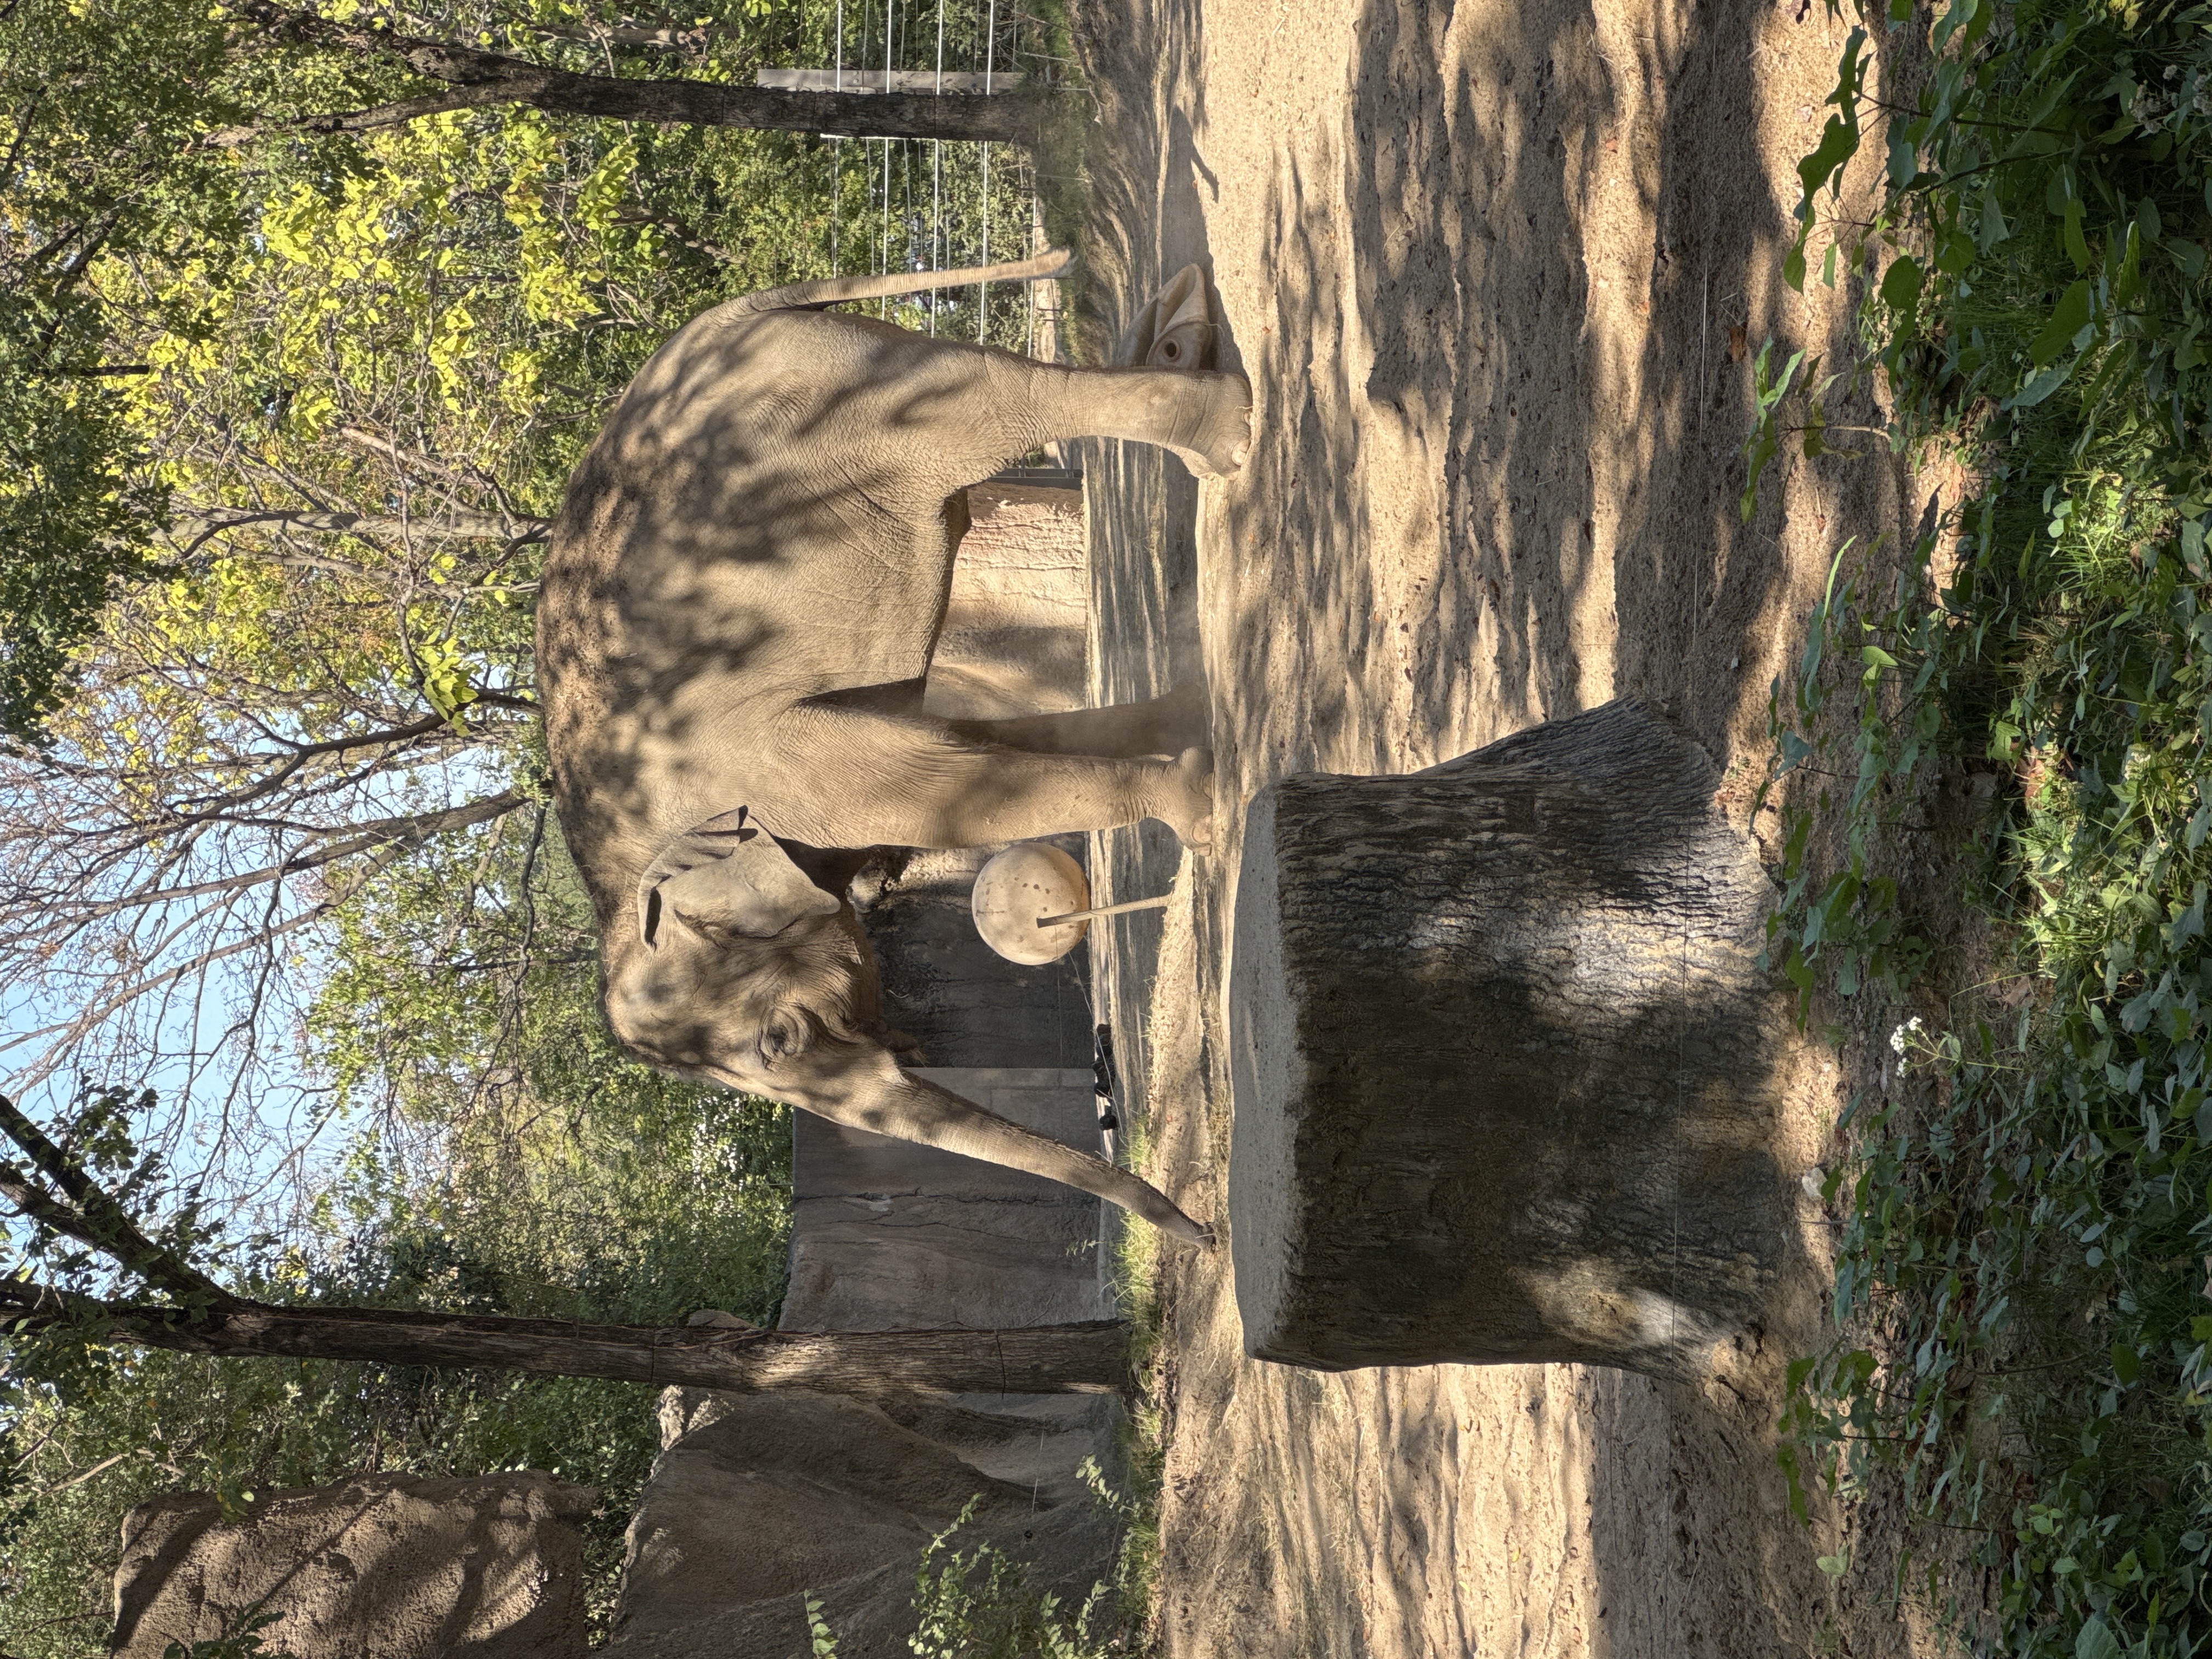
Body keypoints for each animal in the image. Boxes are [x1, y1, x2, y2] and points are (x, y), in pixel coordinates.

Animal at [536, 249, 1249, 1247]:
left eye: (779, 1041)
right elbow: (972, 742)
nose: (1203, 1234)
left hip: (849, 402)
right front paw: (1191, 733)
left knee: (1002, 404)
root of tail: (731, 316)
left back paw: (1225, 440)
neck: (623, 887)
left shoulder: (775, 765)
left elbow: (936, 787)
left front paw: (1205, 809)